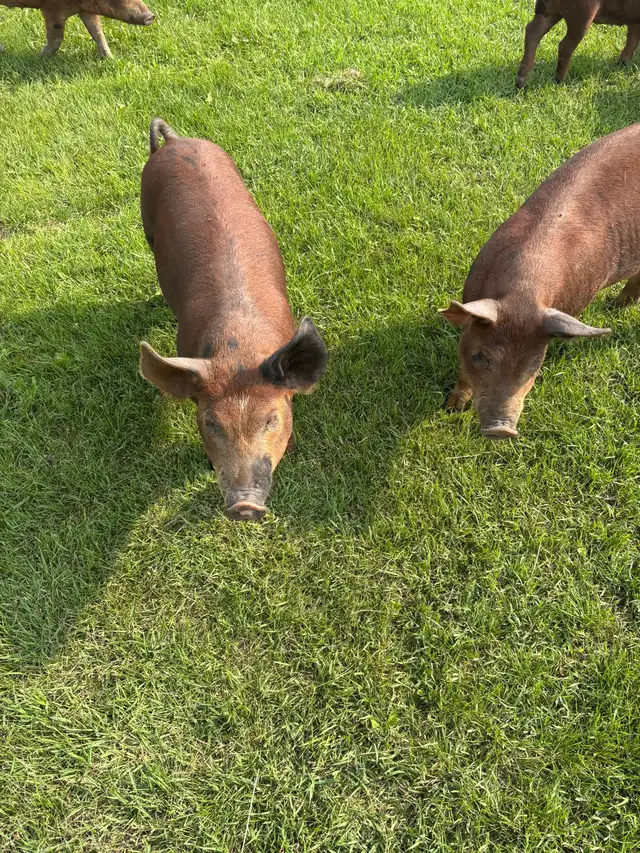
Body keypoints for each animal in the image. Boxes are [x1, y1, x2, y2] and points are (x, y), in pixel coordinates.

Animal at [0, 0, 154, 58]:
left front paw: (111, 58)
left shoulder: (86, 9)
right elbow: (57, 37)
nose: (151, 16)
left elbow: (97, 32)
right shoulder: (51, 9)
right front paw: (41, 56)